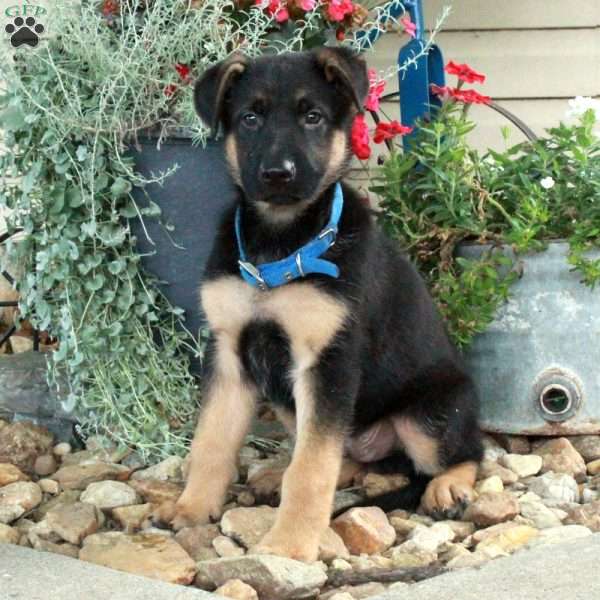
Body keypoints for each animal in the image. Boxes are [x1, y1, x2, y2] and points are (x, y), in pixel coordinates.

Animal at [156, 48, 482, 564]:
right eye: (250, 118)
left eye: (313, 117)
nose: (277, 175)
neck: (281, 242)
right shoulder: (229, 353)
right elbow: (211, 441)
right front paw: (191, 507)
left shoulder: (327, 362)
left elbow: (311, 469)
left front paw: (288, 545)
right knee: (343, 454)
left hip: (428, 413)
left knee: (467, 453)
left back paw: (449, 486)